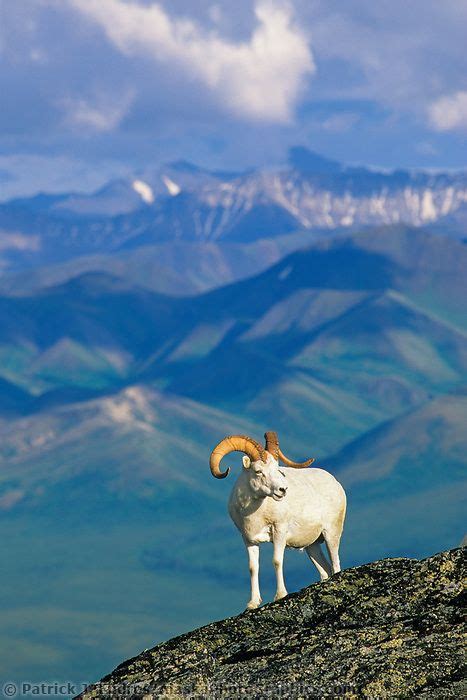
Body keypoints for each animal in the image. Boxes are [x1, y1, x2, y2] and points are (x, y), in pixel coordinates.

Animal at [211, 430, 348, 608]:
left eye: (277, 468)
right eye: (258, 471)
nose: (282, 490)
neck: (256, 513)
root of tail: (335, 483)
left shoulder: (279, 531)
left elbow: (276, 561)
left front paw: (280, 595)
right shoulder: (248, 540)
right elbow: (253, 567)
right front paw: (253, 603)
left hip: (331, 534)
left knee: (335, 563)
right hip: (312, 546)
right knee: (325, 569)